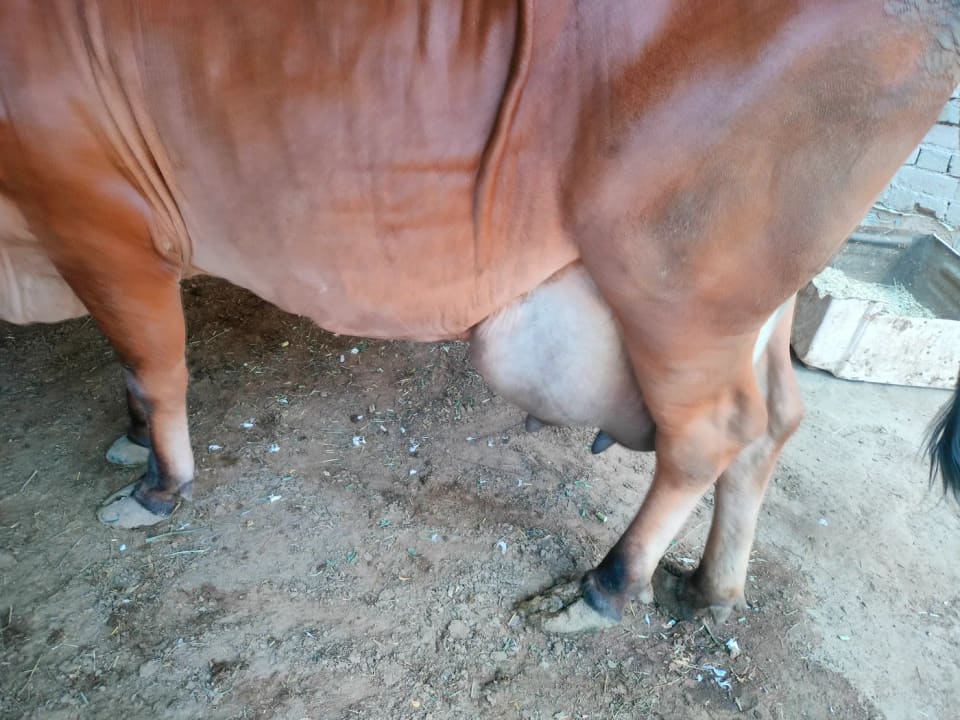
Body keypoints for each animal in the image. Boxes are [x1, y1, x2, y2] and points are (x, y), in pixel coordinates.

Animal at [1, 1, 958, 634]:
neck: (23, 260)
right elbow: (129, 368)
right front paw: (129, 440)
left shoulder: (99, 224)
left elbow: (151, 364)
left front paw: (156, 486)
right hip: (754, 295)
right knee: (775, 422)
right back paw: (709, 590)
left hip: (680, 287)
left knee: (709, 434)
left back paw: (607, 588)